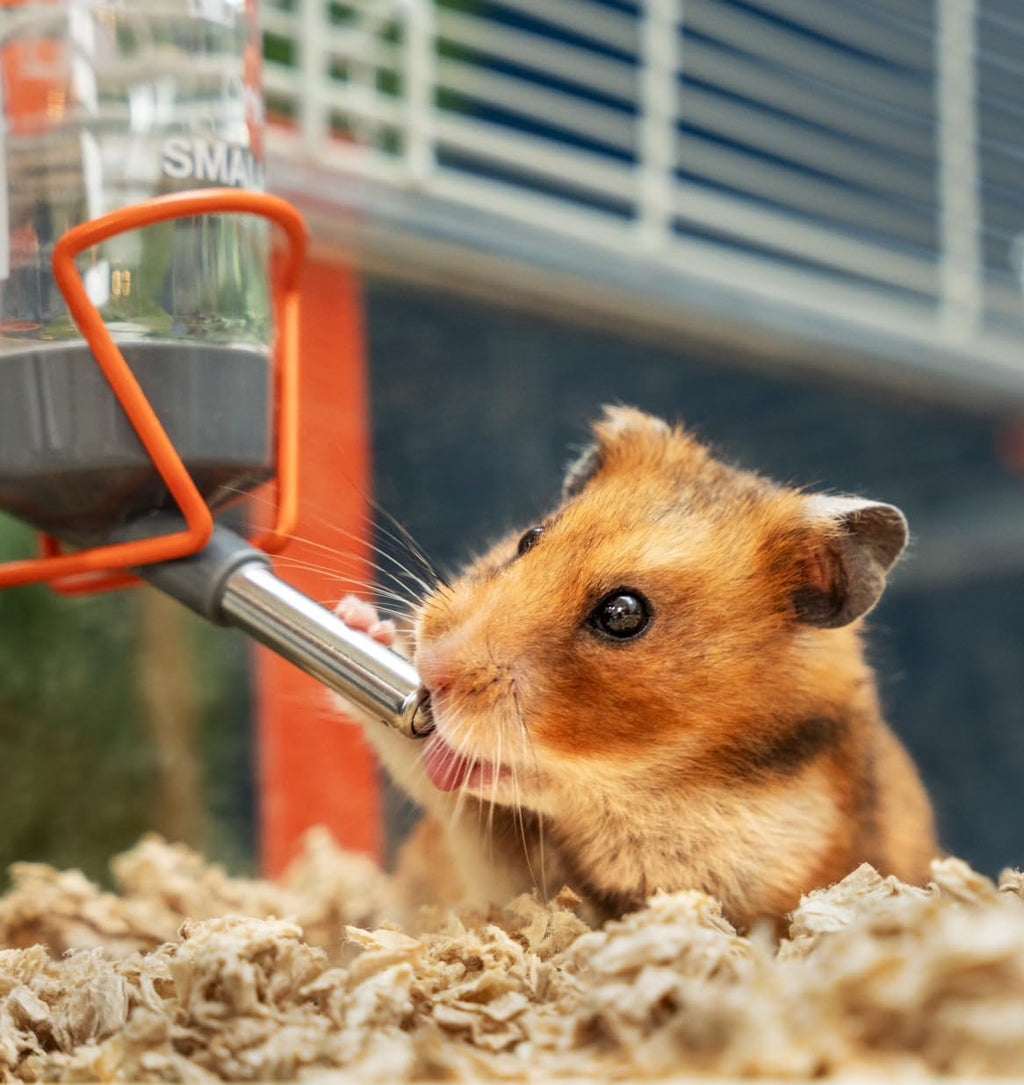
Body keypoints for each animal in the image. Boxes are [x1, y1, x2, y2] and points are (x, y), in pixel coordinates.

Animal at [338, 406, 937, 929]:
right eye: (529, 538)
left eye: (624, 613)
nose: (432, 666)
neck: (656, 793)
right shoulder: (498, 860)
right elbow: (445, 798)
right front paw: (360, 623)